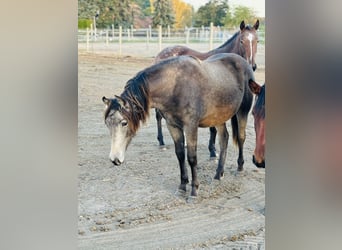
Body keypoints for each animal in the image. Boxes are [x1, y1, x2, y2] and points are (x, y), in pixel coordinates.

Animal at [101, 53, 254, 197]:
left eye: (124, 122)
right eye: (107, 124)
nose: (115, 160)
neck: (174, 86)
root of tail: (244, 62)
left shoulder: (191, 126)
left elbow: (192, 157)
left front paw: (194, 190)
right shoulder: (172, 126)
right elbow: (180, 154)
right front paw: (182, 186)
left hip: (242, 111)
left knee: (241, 137)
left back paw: (240, 168)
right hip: (218, 117)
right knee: (224, 139)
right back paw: (218, 174)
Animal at [154, 19, 258, 156]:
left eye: (257, 40)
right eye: (242, 41)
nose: (252, 65)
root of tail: (162, 53)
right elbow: (213, 128)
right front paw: (212, 151)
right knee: (158, 116)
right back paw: (161, 141)